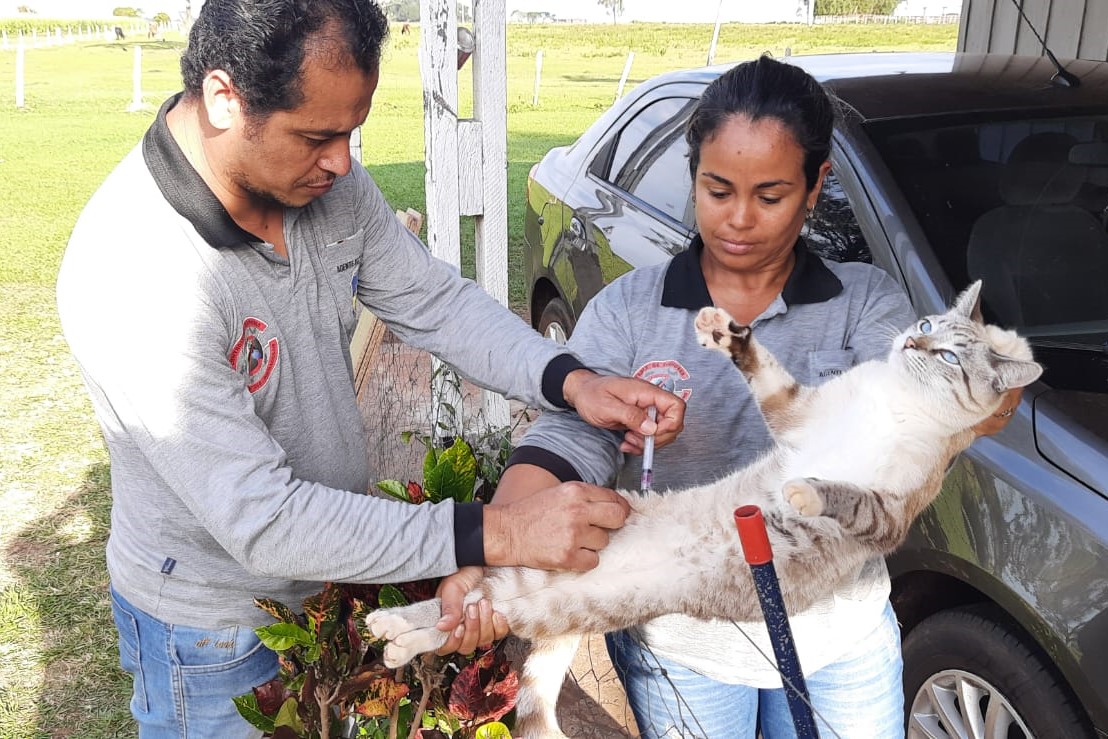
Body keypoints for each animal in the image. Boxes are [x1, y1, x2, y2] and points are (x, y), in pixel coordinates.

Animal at [367, 280, 1041, 735]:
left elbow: (842, 495)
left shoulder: (888, 514)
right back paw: (390, 626)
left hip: (554, 602)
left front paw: (804, 492)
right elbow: (759, 365)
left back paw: (397, 640)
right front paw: (724, 331)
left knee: (471, 614)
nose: (913, 339)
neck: (898, 398)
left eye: (949, 355)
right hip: (542, 579)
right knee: (460, 605)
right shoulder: (794, 410)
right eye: (925, 320)